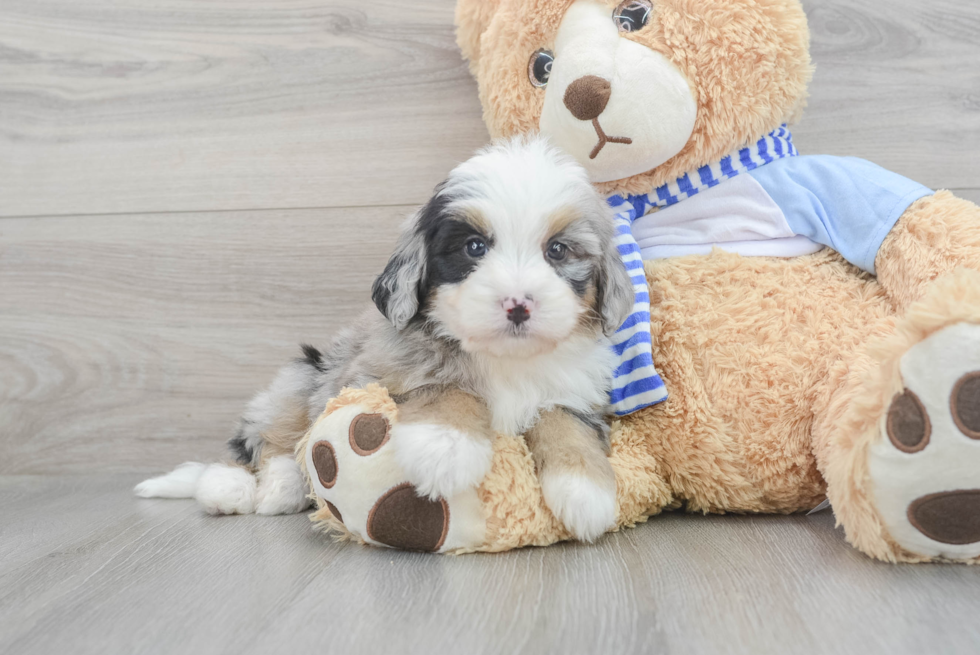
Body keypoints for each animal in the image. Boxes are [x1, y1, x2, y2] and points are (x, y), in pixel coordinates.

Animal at [140, 136, 636, 540]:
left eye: (558, 250)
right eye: (473, 247)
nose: (518, 304)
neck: (505, 359)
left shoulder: (578, 393)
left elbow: (565, 422)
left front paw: (586, 492)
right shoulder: (377, 372)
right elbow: (444, 385)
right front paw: (446, 448)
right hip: (304, 372)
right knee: (262, 438)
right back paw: (243, 487)